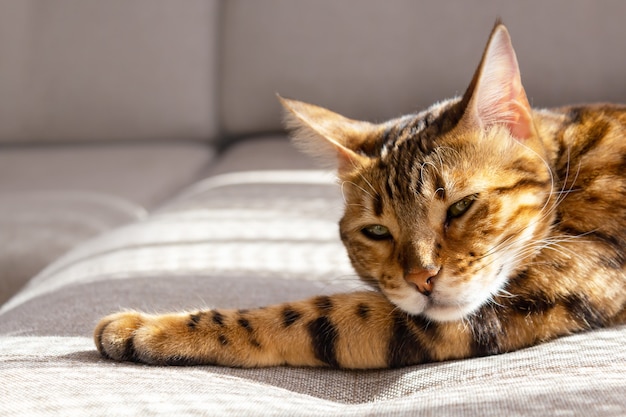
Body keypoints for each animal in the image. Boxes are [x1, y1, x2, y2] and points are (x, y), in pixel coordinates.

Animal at [94, 23, 624, 368]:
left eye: (460, 206)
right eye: (376, 231)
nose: (422, 280)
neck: (572, 166)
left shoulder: (542, 285)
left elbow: (307, 316)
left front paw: (150, 328)